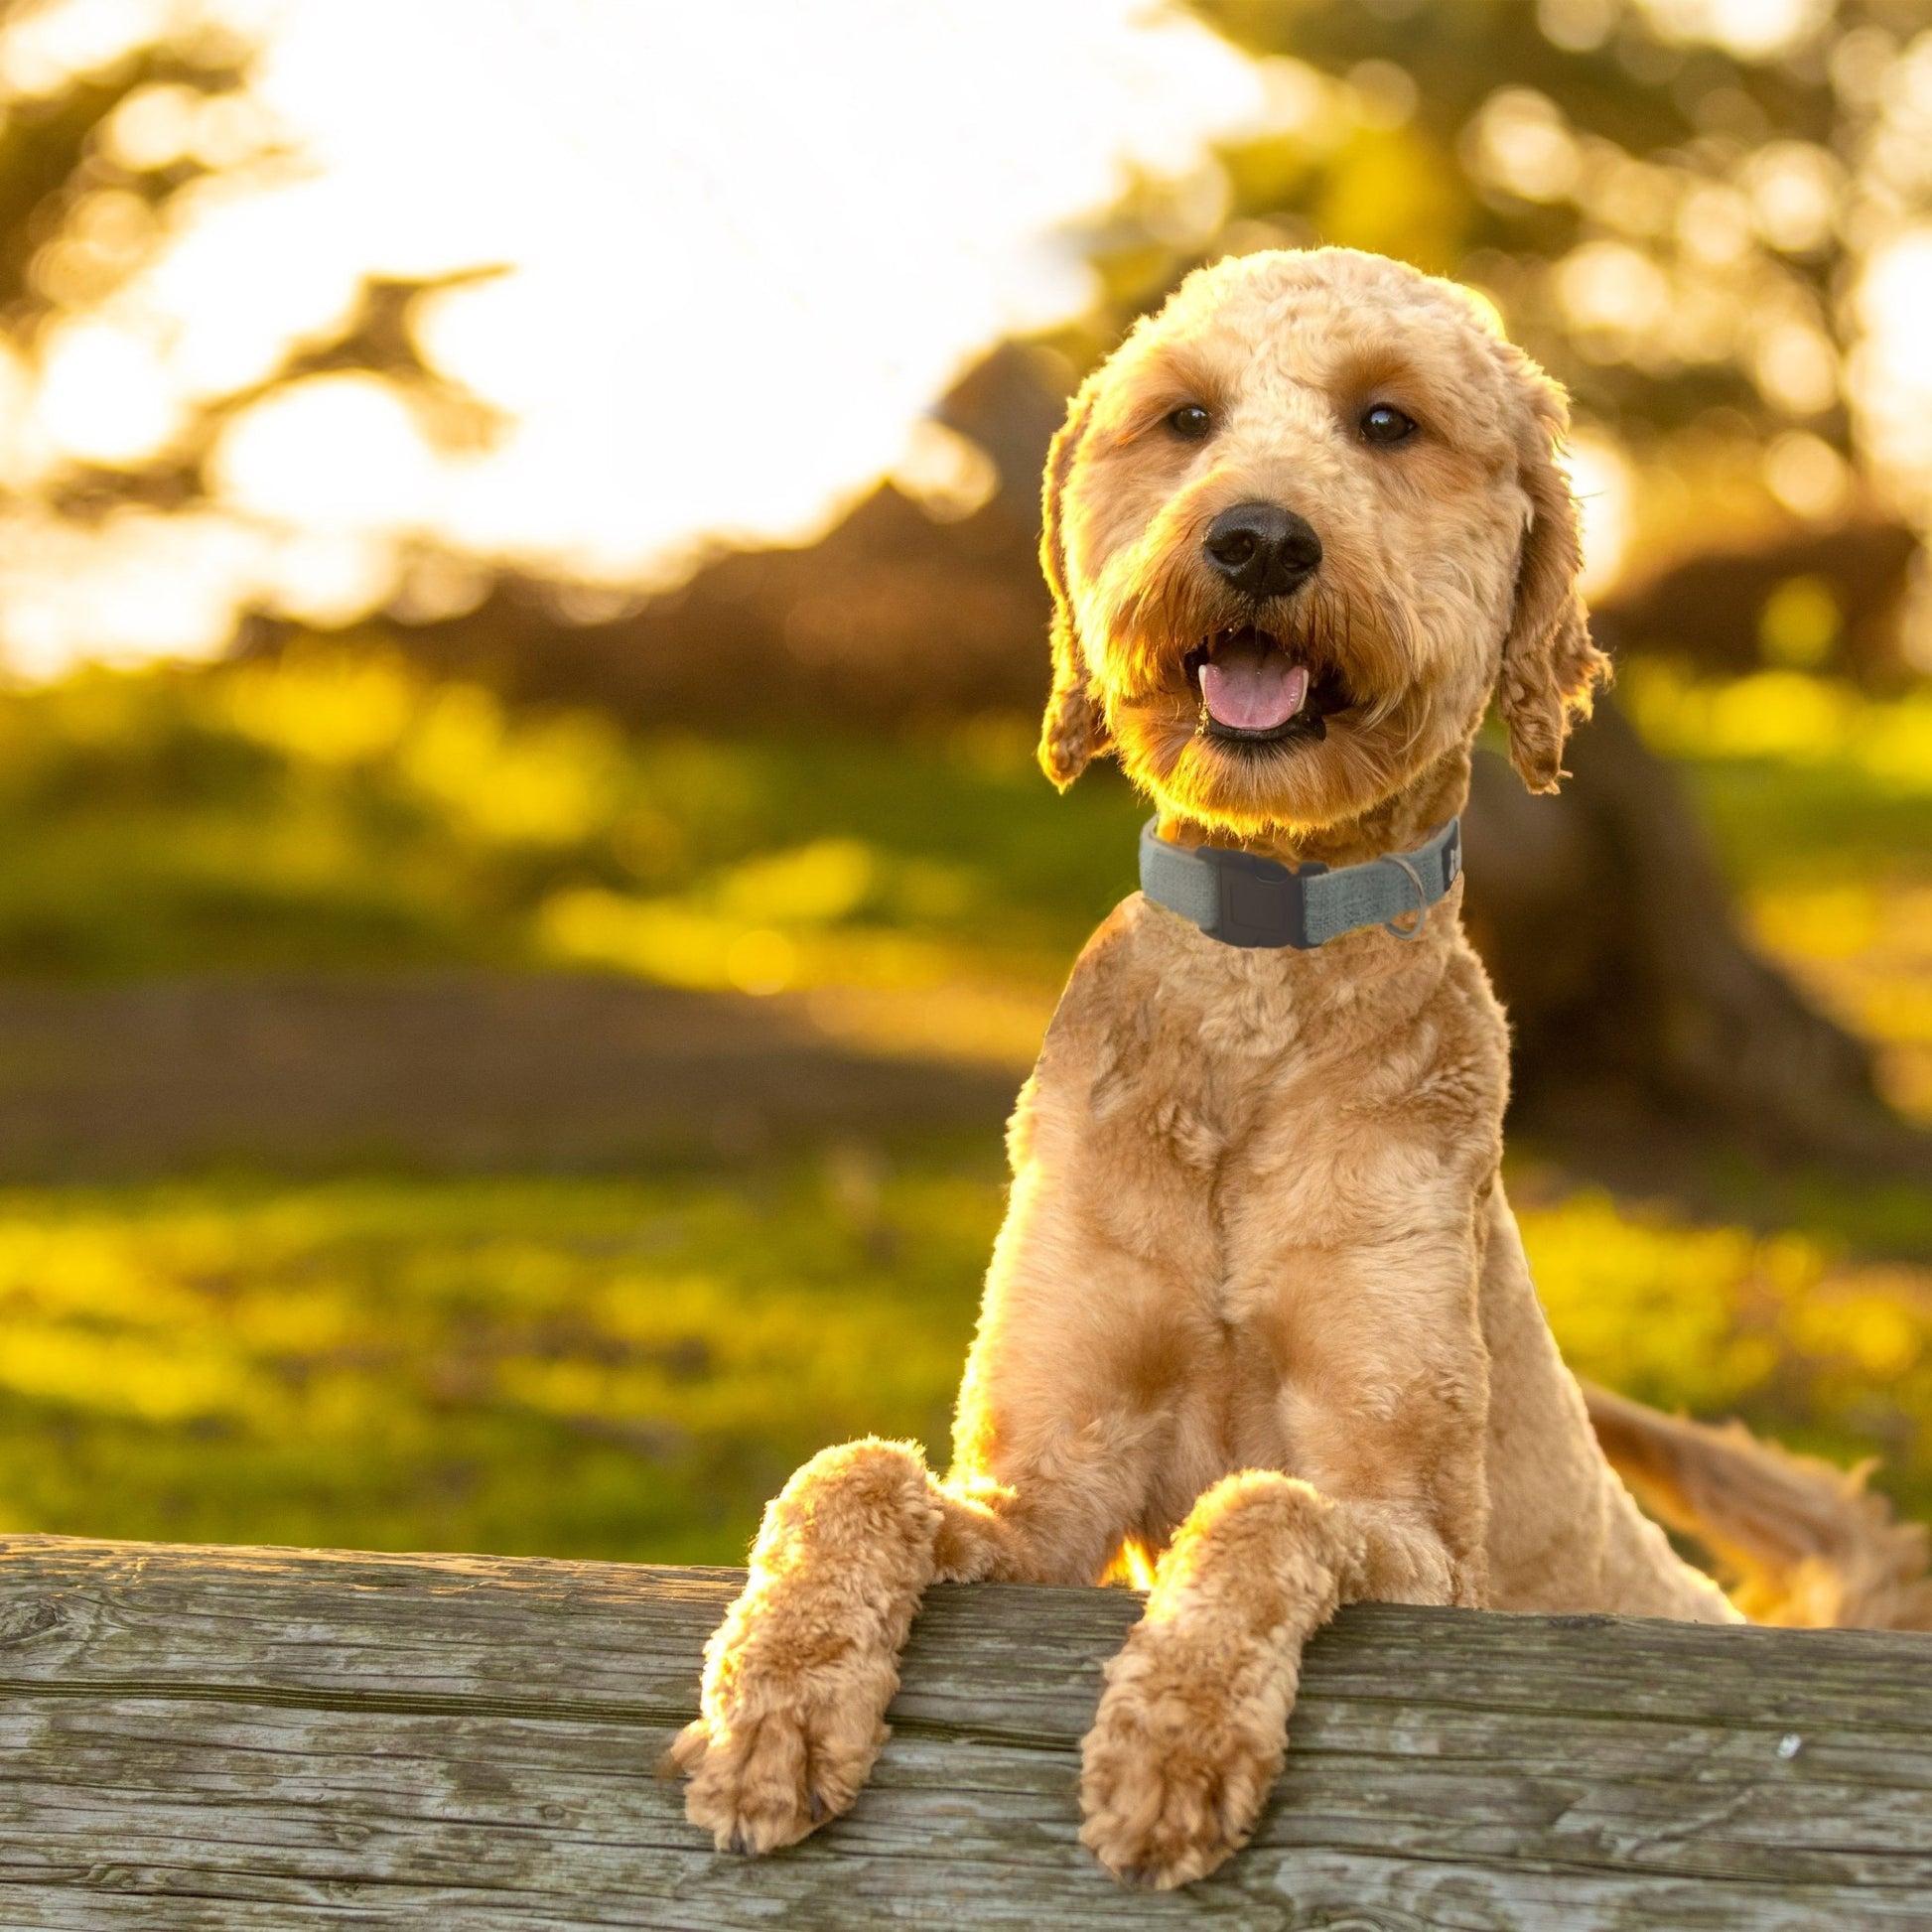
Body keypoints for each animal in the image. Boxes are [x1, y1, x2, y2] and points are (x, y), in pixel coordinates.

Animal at [668, 241, 1932, 1885]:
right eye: (1184, 417)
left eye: (1386, 421)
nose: (1258, 538)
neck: (1260, 977)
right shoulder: (1048, 1486)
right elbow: (853, 1472)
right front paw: (771, 1698)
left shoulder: (1414, 1530)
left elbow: (1265, 1504)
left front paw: (1171, 1741)